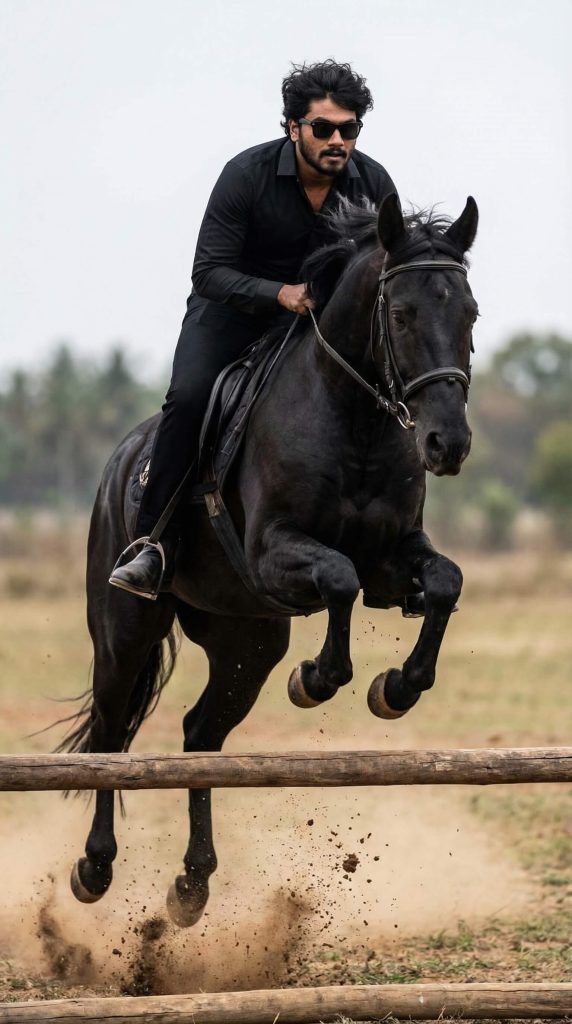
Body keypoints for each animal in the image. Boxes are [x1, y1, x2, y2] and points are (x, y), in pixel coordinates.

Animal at [61, 192, 479, 927]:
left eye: (471, 315)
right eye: (401, 315)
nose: (447, 443)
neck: (357, 419)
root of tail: (122, 459)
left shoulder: (393, 556)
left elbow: (444, 583)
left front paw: (396, 688)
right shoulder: (271, 552)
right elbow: (338, 577)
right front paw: (316, 679)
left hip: (246, 642)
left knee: (201, 734)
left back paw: (192, 884)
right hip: (124, 627)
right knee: (112, 732)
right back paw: (95, 867)